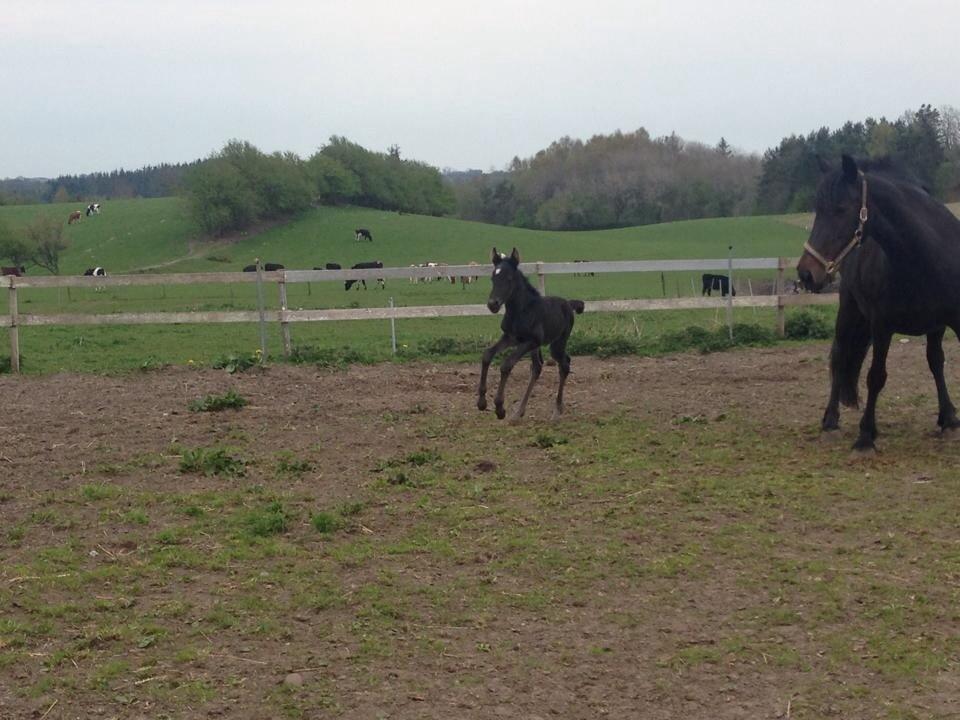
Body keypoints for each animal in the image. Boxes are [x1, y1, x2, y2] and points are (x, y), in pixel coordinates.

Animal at [478, 248, 584, 422]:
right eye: (493, 278)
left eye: (509, 278)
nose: (492, 304)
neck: (521, 311)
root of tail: (569, 304)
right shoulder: (511, 337)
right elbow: (487, 355)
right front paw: (481, 402)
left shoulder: (531, 341)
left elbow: (506, 364)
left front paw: (500, 408)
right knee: (537, 368)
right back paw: (518, 413)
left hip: (557, 343)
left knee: (564, 364)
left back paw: (557, 411)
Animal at [800, 155, 960, 452]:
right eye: (818, 211)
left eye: (840, 210)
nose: (806, 273)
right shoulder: (882, 326)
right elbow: (876, 376)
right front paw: (865, 436)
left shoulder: (947, 322)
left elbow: (936, 363)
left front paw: (949, 419)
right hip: (849, 310)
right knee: (839, 355)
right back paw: (831, 421)